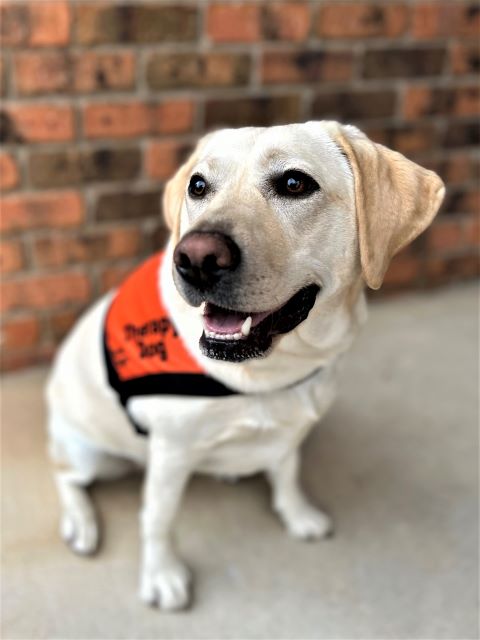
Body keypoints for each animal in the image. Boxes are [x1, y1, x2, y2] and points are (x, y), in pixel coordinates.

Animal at [47, 121, 444, 608]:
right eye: (198, 186)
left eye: (294, 183)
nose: (196, 258)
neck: (274, 368)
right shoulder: (171, 451)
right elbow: (157, 517)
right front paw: (161, 574)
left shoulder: (292, 430)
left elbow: (288, 472)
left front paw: (298, 514)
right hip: (91, 453)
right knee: (67, 476)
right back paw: (80, 522)